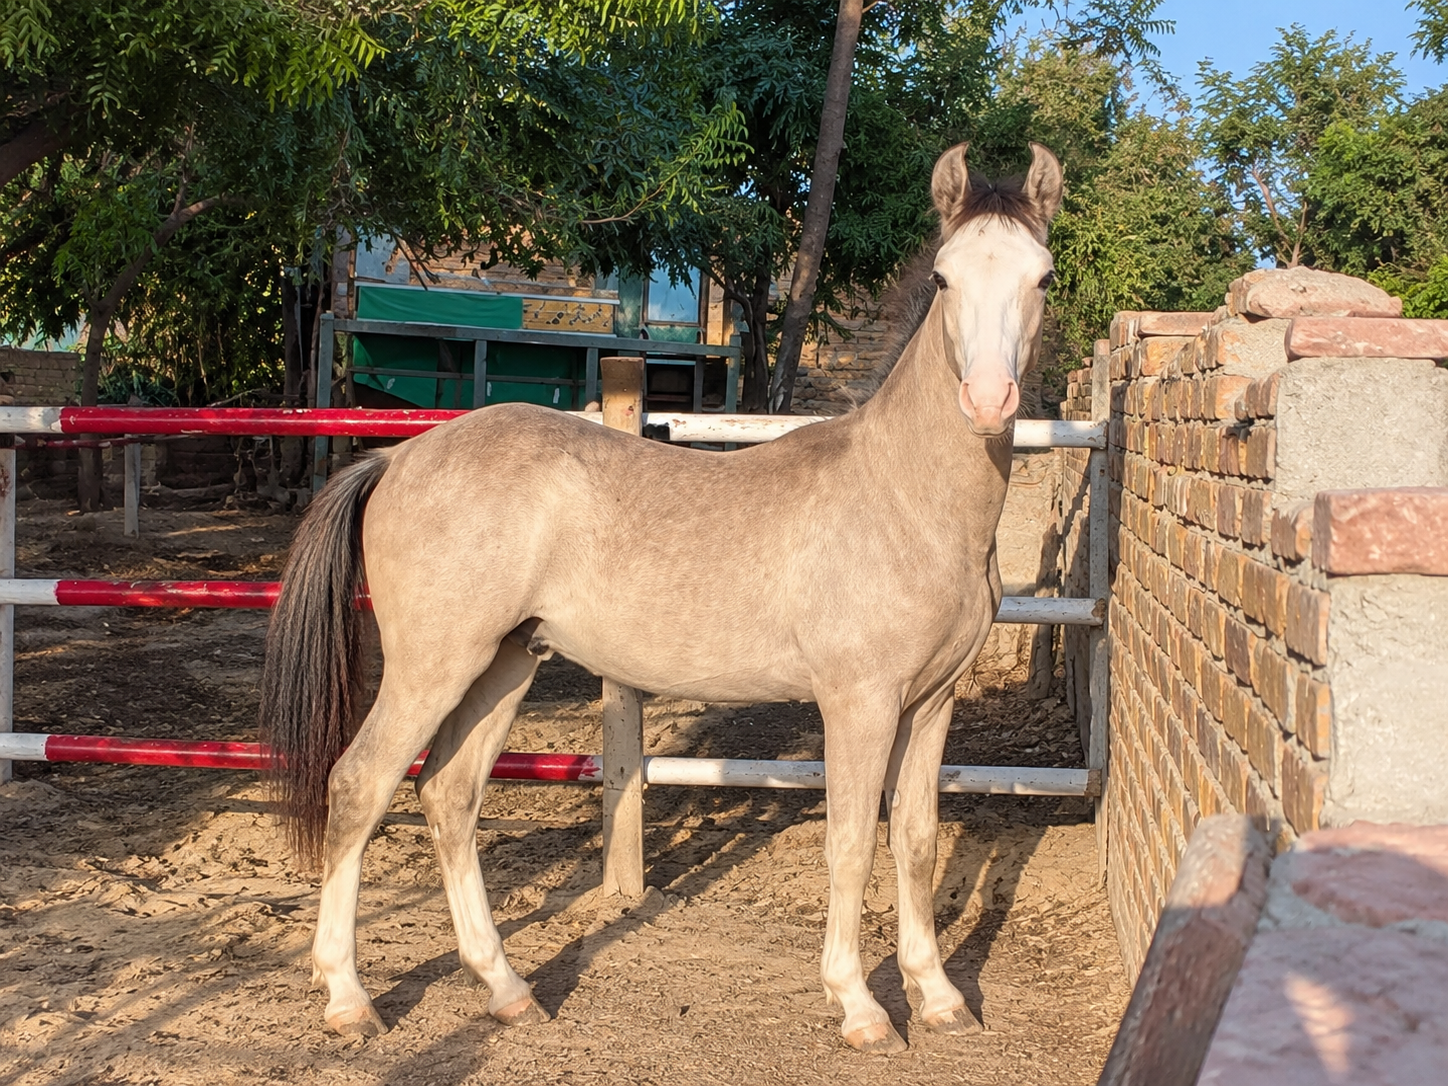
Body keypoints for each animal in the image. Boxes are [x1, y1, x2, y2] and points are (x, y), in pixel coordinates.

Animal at [258, 142, 1063, 1055]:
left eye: (1041, 276)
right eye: (942, 276)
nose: (989, 400)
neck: (903, 497)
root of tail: (398, 457)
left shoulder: (931, 705)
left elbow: (918, 841)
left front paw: (938, 997)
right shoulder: (858, 703)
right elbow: (853, 843)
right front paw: (860, 1007)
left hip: (502, 667)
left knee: (449, 798)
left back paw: (507, 990)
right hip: (432, 666)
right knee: (360, 785)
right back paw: (347, 997)